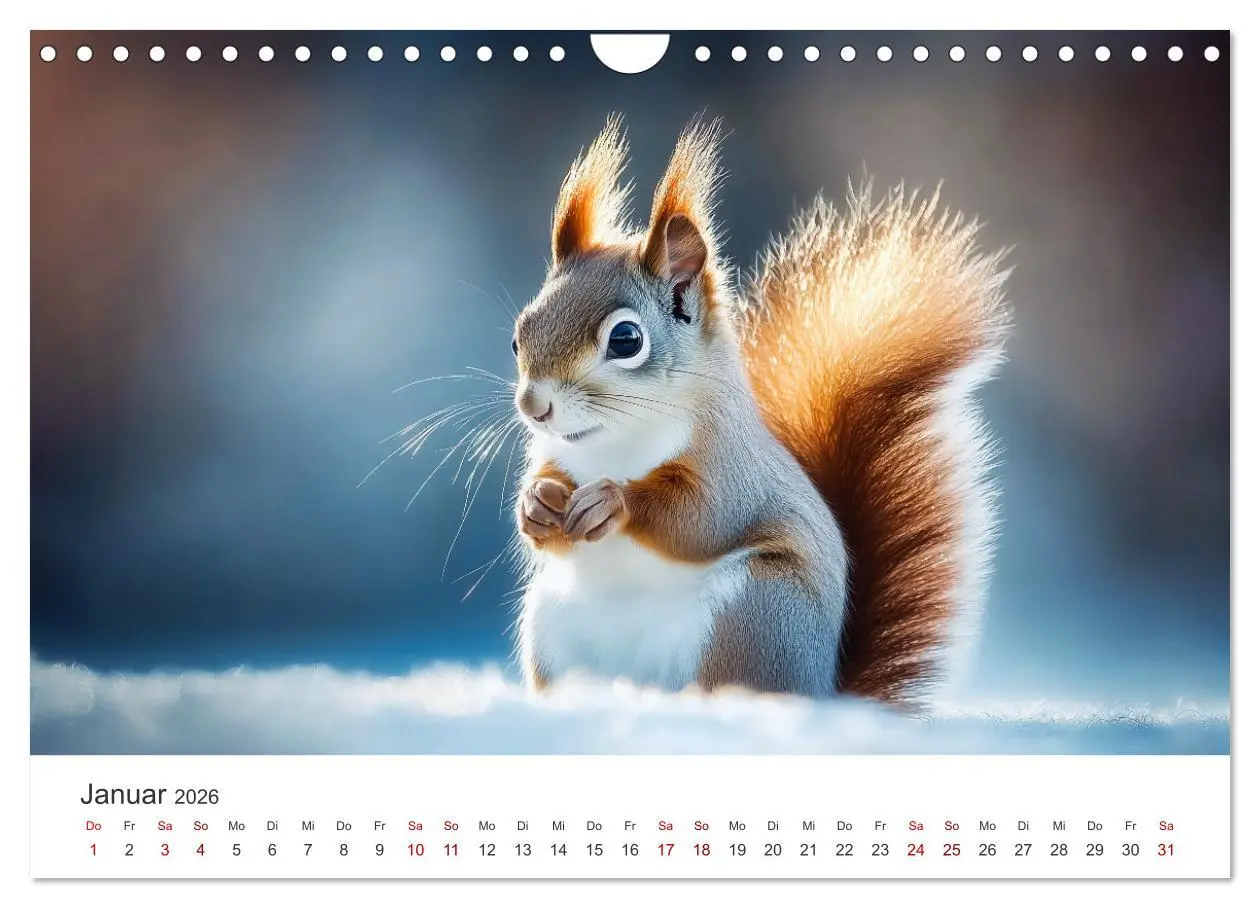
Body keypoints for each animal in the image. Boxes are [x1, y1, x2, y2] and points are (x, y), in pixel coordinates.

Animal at [509, 117, 1010, 708]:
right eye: (520, 333)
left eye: (626, 339)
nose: (534, 407)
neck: (611, 442)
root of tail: (824, 690)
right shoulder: (554, 453)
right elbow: (545, 496)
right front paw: (536, 503)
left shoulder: (730, 463)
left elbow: (704, 517)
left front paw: (614, 501)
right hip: (553, 626)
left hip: (752, 614)